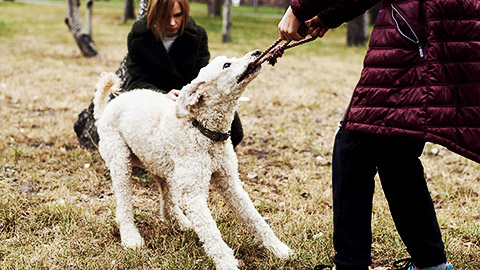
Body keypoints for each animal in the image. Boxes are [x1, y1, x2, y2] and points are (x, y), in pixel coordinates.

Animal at [91, 50, 292, 268]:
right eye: (226, 65)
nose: (256, 52)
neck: (202, 130)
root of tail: (104, 110)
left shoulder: (230, 182)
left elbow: (255, 218)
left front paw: (279, 249)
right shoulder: (193, 195)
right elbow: (211, 232)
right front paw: (226, 263)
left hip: (160, 163)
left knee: (167, 199)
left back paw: (179, 222)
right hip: (121, 161)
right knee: (124, 203)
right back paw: (131, 237)